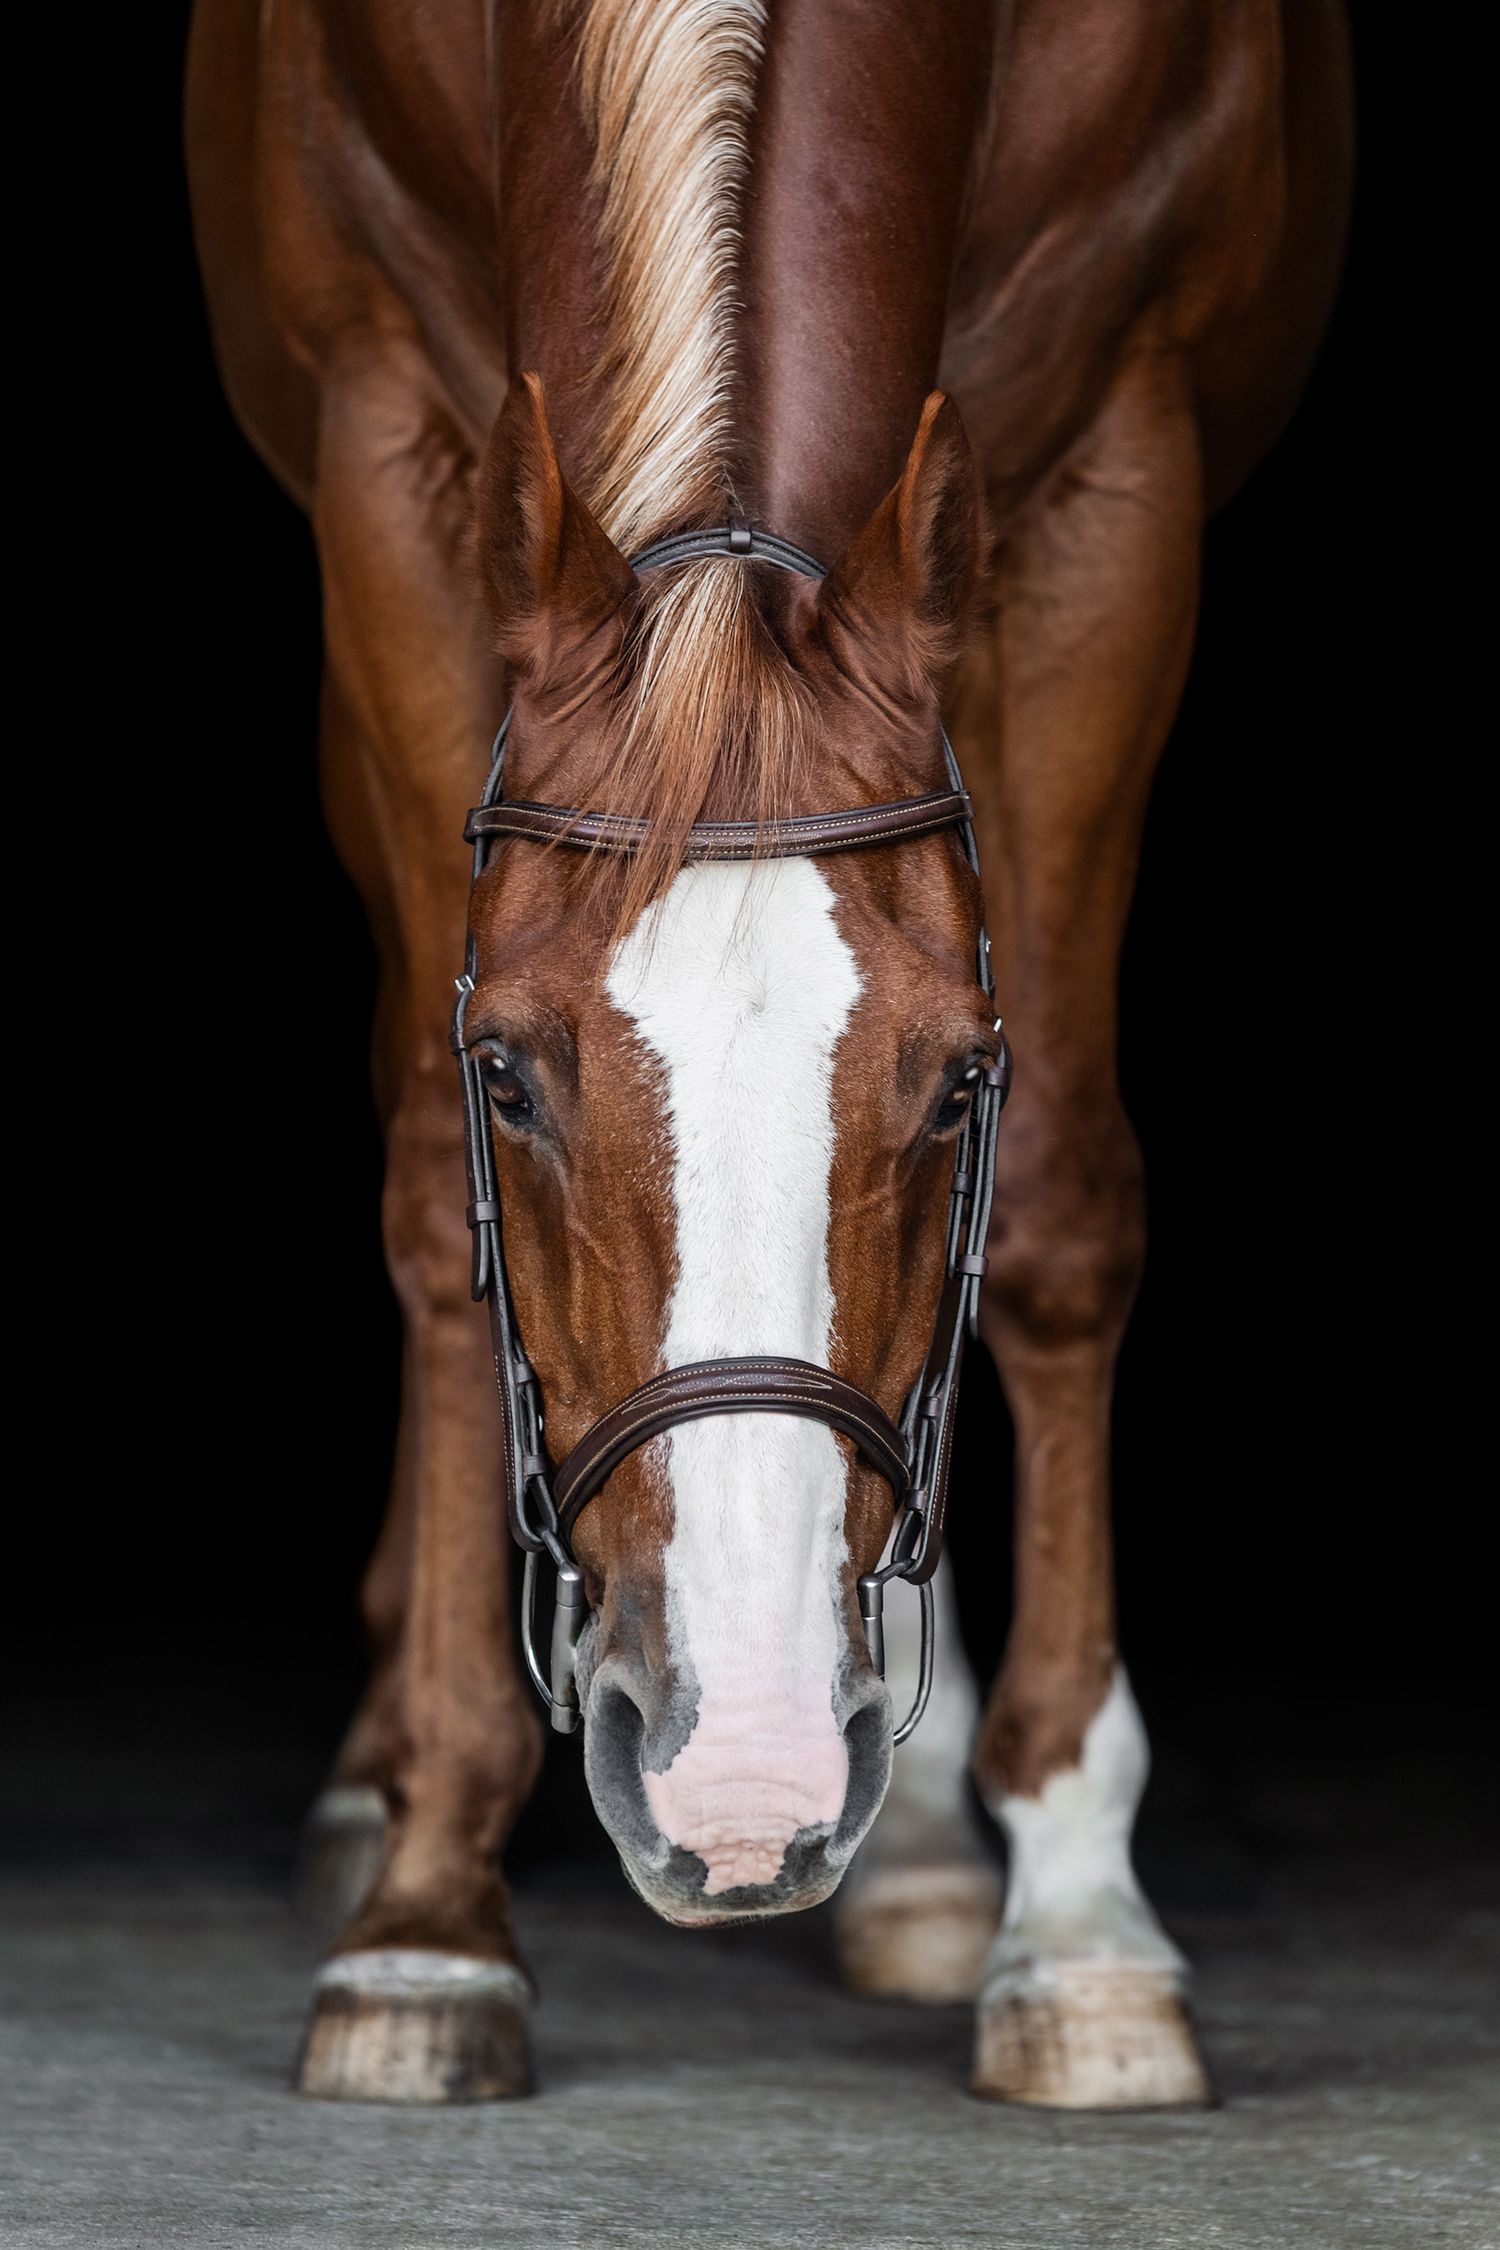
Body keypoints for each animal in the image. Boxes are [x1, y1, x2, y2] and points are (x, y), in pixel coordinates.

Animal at [187, 0, 1351, 2107]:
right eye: (512, 1075)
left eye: (958, 1079)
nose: (740, 1779)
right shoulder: (388, 441)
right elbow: (426, 1195)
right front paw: (429, 1911)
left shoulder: (1112, 468)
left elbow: (1056, 1213)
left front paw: (1079, 1914)